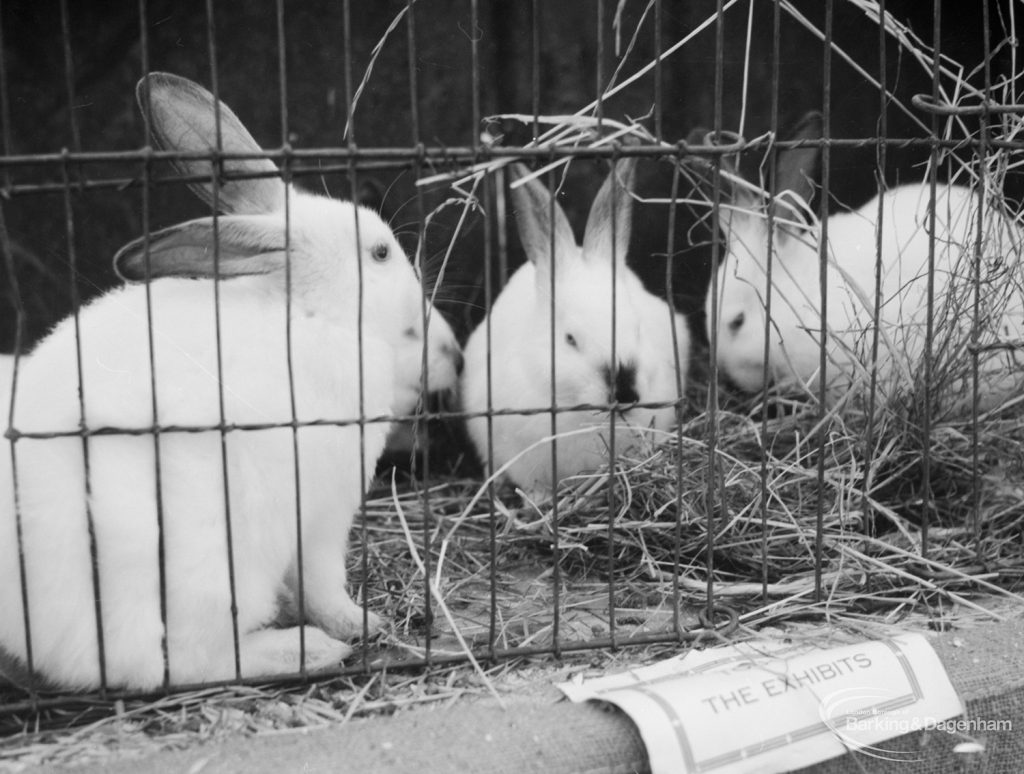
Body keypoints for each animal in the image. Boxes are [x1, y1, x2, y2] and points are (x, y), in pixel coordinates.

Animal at [0, 72, 458, 688]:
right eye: (382, 252)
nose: (450, 350)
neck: (315, 313)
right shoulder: (323, 514)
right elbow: (322, 583)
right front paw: (361, 622)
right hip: (210, 569)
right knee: (194, 661)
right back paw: (306, 650)